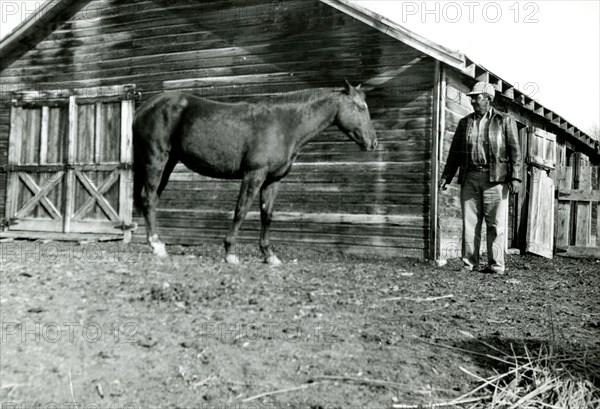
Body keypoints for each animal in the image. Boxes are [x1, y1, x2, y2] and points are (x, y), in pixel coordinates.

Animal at [132, 80, 376, 264]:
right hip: (156, 160)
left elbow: (267, 215)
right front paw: (230, 252)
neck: (284, 123)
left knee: (152, 199)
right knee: (149, 198)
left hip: (168, 163)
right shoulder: (254, 175)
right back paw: (156, 245)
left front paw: (269, 255)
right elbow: (241, 210)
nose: (373, 143)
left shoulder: (273, 180)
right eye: (360, 107)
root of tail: (143, 108)